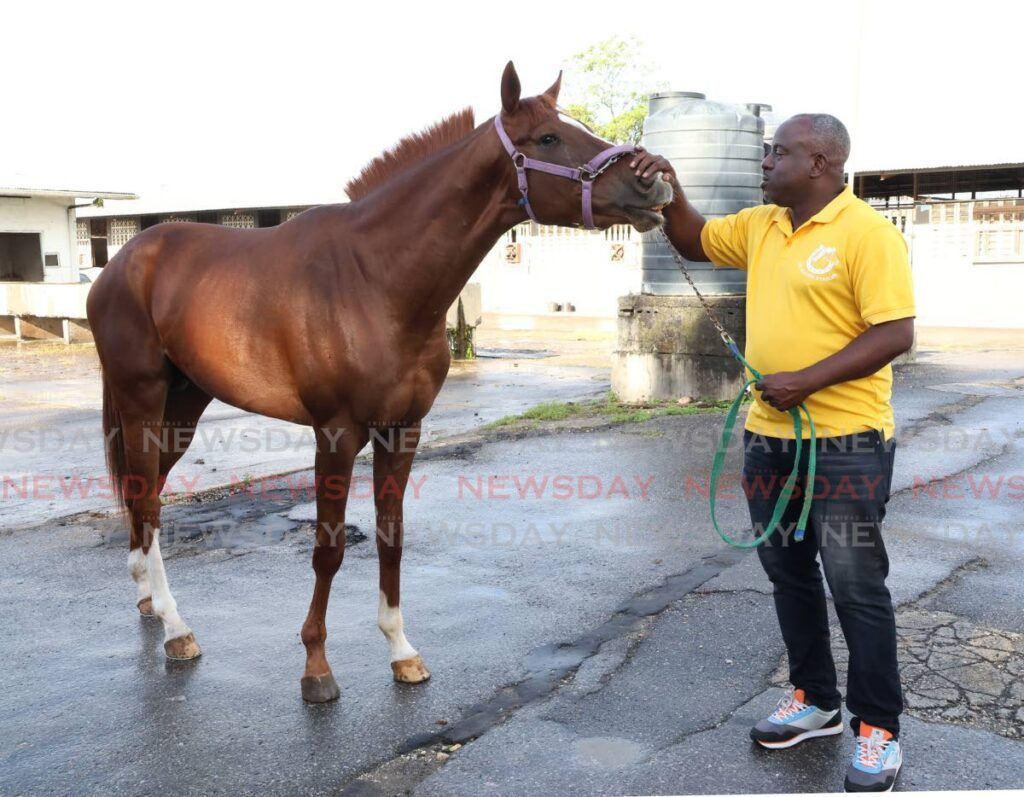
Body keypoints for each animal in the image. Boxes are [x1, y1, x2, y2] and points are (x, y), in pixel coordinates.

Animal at [88, 61, 675, 700]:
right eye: (548, 138)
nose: (654, 182)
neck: (374, 278)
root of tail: (121, 263)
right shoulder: (336, 433)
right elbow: (329, 546)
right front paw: (316, 666)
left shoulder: (403, 429)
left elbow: (392, 536)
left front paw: (401, 651)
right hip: (143, 400)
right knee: (147, 500)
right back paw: (176, 629)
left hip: (185, 404)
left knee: (146, 496)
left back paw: (148, 599)